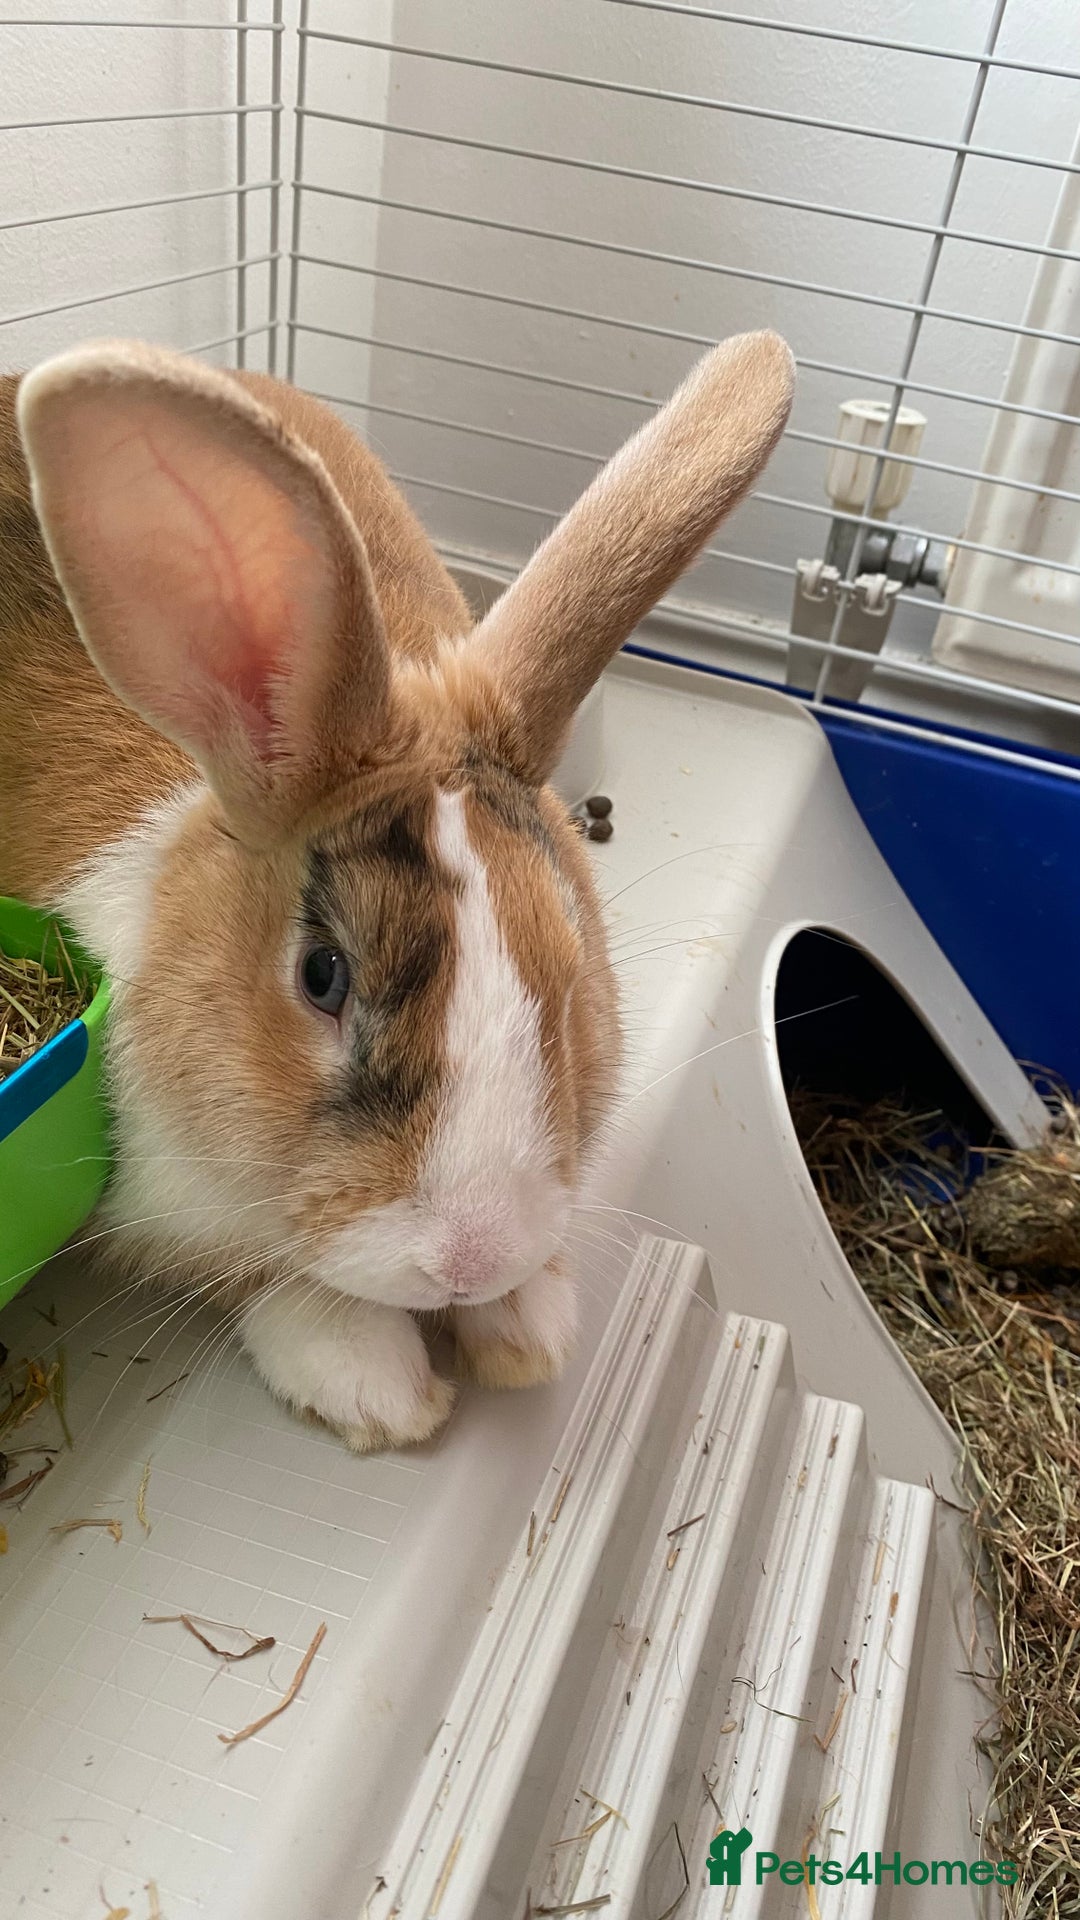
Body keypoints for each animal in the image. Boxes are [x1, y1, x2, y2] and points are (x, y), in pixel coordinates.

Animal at [0, 328, 794, 1451]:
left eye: (571, 974)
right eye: (321, 976)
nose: (473, 1257)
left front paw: (526, 1326)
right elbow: (272, 1283)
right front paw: (379, 1388)